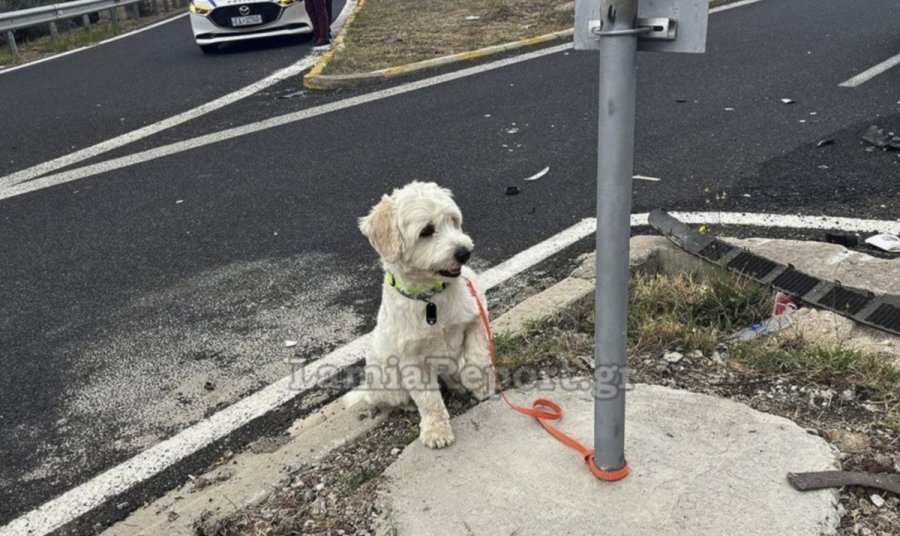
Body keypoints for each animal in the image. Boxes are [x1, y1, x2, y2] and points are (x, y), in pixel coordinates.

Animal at [348, 181, 496, 448]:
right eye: (426, 230)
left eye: (453, 221)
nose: (464, 252)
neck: (431, 298)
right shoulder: (412, 360)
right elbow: (428, 400)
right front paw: (436, 431)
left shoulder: (476, 315)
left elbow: (478, 355)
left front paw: (478, 384)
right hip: (386, 377)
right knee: (395, 398)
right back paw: (407, 405)